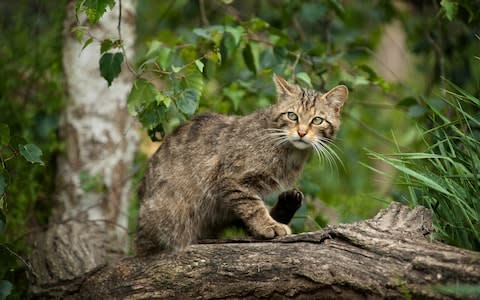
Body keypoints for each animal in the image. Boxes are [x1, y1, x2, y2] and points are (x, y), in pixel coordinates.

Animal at [133, 75, 346, 253]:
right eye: (292, 116)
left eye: (317, 120)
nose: (301, 132)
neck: (290, 152)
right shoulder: (233, 179)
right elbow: (253, 206)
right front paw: (268, 225)